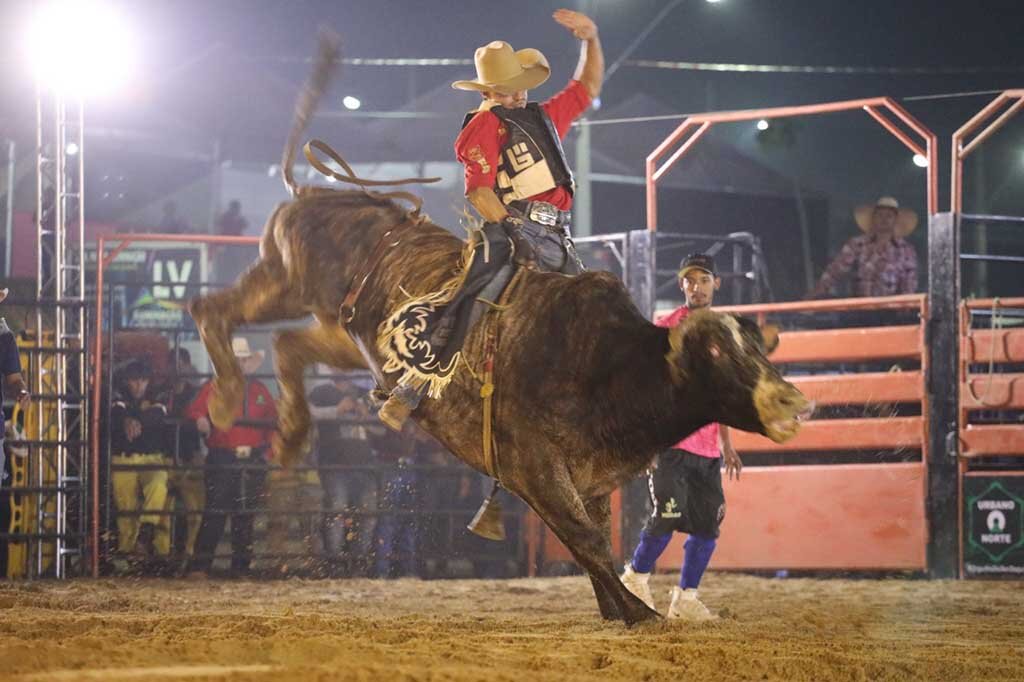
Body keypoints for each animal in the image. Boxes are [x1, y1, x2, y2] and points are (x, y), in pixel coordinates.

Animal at [190, 34, 806, 622]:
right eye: (719, 355)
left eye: (760, 350)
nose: (792, 401)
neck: (606, 361)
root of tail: (319, 191)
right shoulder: (533, 465)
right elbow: (583, 538)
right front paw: (639, 613)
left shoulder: (589, 472)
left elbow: (594, 542)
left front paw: (617, 608)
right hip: (288, 279)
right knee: (213, 310)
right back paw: (227, 401)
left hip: (344, 336)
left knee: (286, 344)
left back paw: (289, 432)